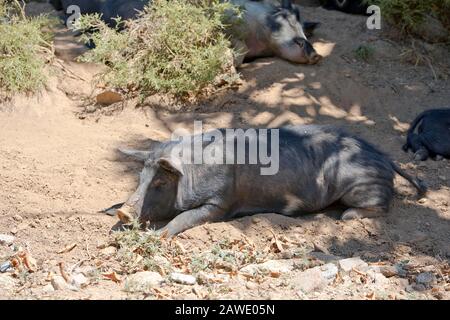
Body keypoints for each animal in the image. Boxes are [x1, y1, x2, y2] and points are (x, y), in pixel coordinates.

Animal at [105, 125, 426, 238]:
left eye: (160, 183)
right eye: (140, 177)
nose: (124, 213)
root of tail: (384, 157)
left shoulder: (220, 202)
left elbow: (184, 218)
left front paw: (156, 236)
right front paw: (109, 209)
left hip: (361, 185)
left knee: (382, 206)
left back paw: (345, 216)